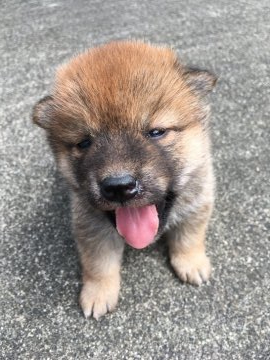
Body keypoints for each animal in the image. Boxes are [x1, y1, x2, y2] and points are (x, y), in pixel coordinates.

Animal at [32, 40, 217, 320]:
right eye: (84, 142)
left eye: (156, 132)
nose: (119, 187)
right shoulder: (91, 226)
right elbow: (99, 264)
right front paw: (98, 293)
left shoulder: (198, 200)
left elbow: (189, 236)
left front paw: (192, 263)